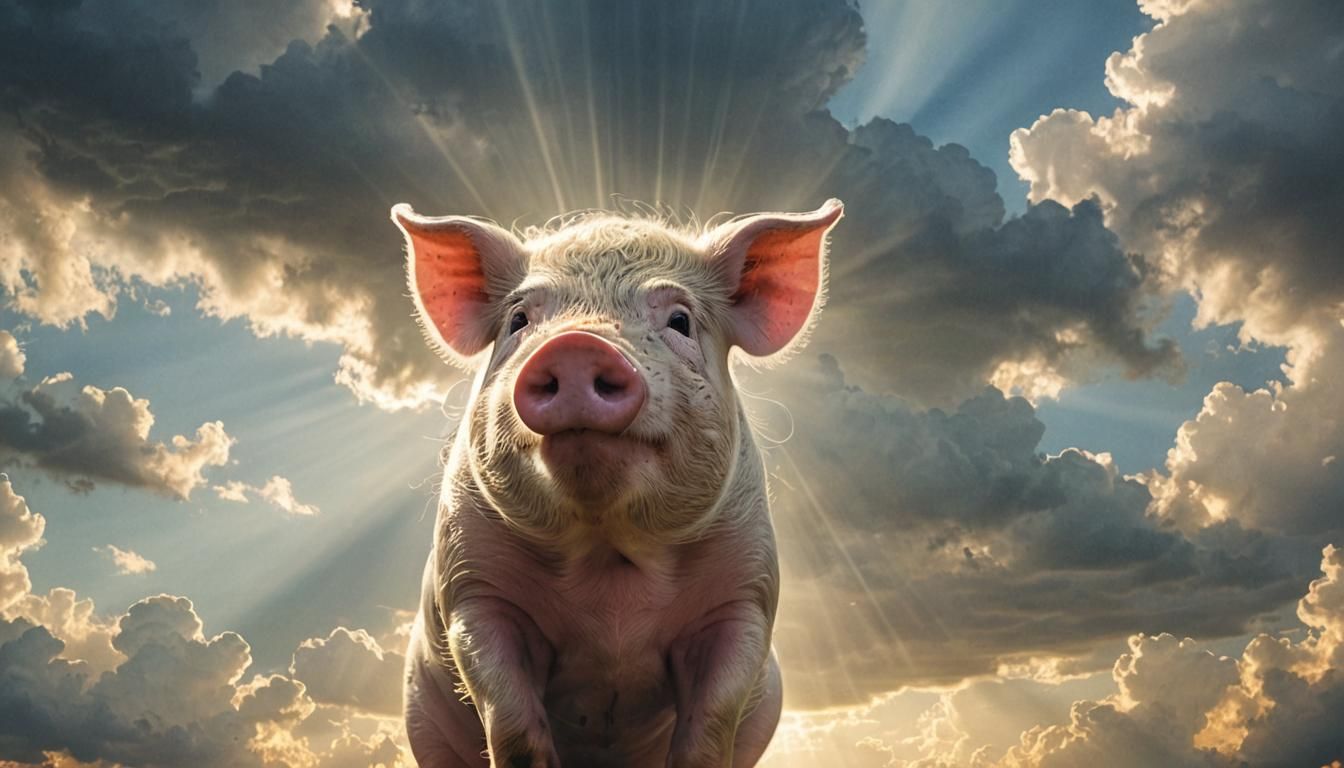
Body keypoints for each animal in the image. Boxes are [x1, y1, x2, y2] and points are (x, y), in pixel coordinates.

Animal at [392, 198, 844, 768]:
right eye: (519, 319)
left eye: (680, 320)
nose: (576, 345)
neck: (608, 573)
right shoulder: (475, 590)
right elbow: (515, 728)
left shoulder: (743, 599)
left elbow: (707, 732)